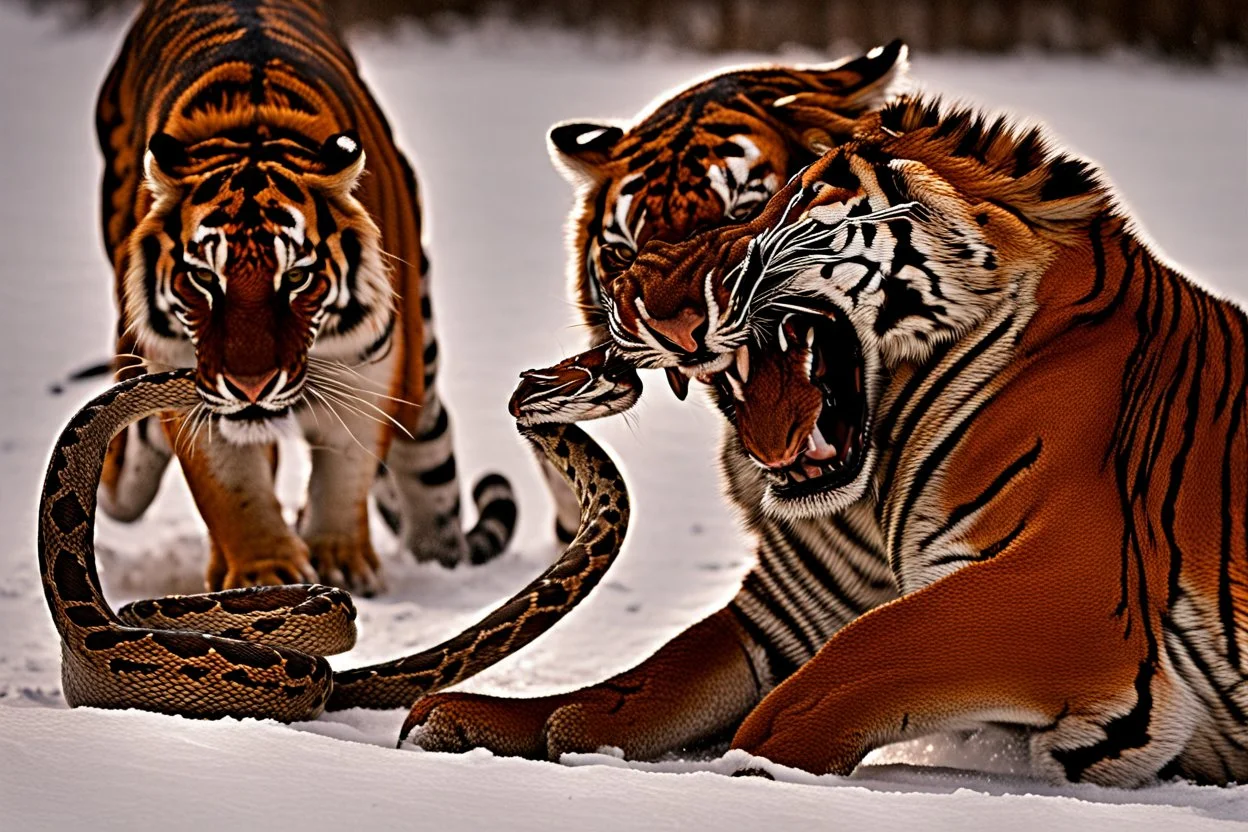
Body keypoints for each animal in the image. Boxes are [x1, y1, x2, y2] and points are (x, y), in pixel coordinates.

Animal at [94, 1, 516, 598]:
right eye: (204, 278)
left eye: (295, 278)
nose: (250, 385)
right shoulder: (184, 366)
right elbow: (232, 486)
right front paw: (263, 572)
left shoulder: (367, 364)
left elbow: (345, 468)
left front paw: (340, 560)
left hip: (420, 373)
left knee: (428, 453)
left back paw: (440, 553)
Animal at [404, 92, 1248, 788]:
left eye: (795, 202)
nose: (641, 297)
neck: (878, 469)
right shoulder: (787, 612)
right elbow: (641, 681)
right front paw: (484, 718)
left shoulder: (1065, 587)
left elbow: (844, 668)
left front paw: (751, 768)